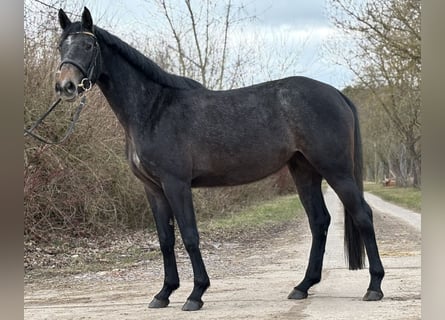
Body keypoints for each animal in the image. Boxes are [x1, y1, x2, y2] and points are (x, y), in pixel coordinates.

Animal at [54, 6, 382, 312]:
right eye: (60, 45)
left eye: (88, 45)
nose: (65, 86)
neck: (153, 109)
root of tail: (336, 94)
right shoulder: (153, 189)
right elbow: (165, 240)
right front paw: (164, 293)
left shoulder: (176, 184)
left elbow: (189, 236)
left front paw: (196, 294)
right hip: (304, 170)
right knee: (319, 221)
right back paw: (303, 286)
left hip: (336, 170)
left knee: (363, 215)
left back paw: (374, 286)